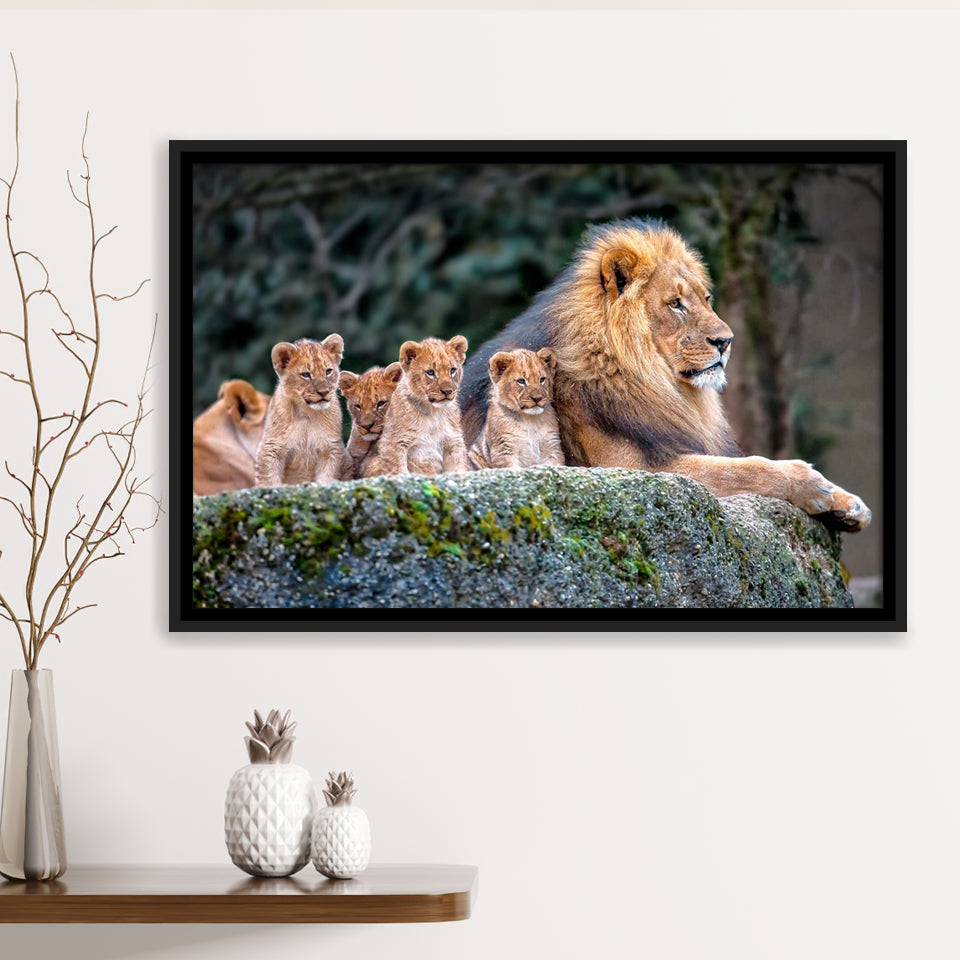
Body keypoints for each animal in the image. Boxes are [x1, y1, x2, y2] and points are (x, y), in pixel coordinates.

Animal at [254, 335, 346, 486]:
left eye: (328, 371)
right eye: (306, 374)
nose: (324, 392)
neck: (307, 414)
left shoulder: (331, 447)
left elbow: (326, 476)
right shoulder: (271, 447)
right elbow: (269, 479)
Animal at [366, 336, 470, 477]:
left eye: (452, 370)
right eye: (431, 372)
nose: (447, 391)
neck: (433, 413)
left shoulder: (453, 442)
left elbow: (459, 468)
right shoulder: (393, 443)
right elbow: (398, 470)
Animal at [461, 218, 870, 531]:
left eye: (706, 299)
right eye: (676, 304)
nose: (726, 341)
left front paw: (848, 503)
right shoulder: (632, 468)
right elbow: (742, 469)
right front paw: (810, 482)